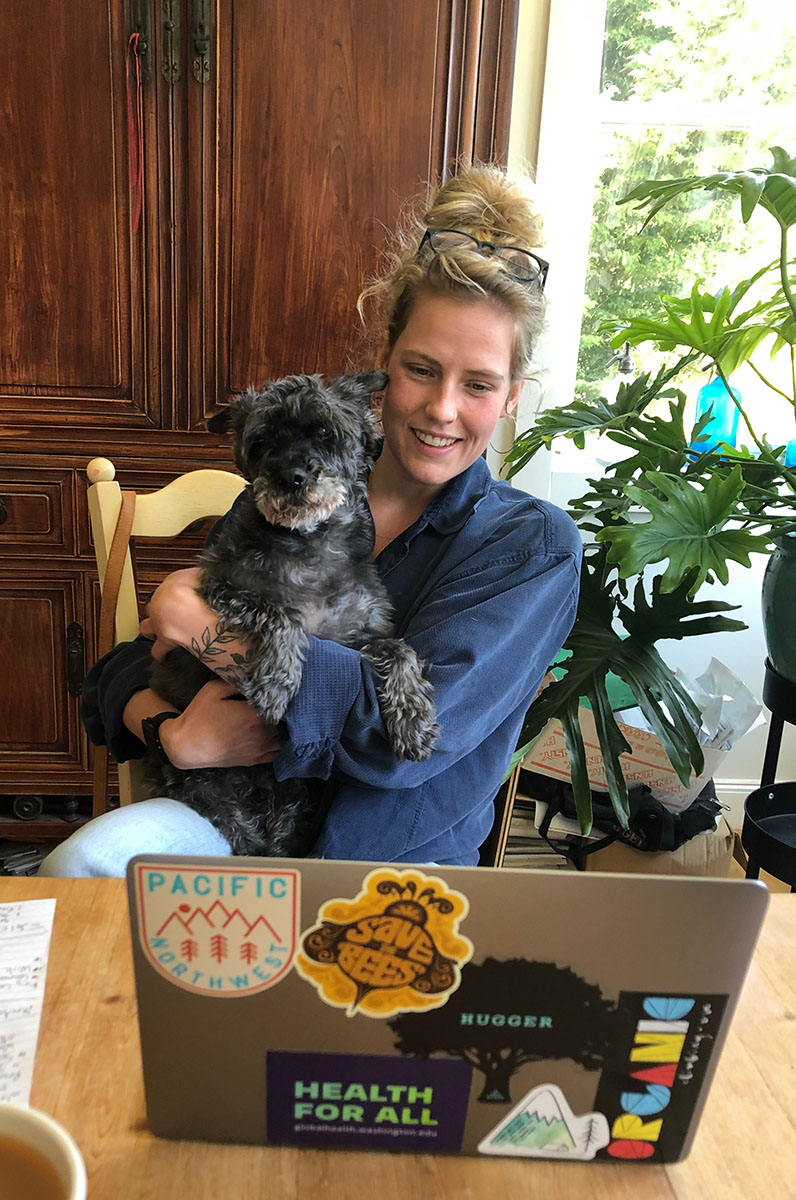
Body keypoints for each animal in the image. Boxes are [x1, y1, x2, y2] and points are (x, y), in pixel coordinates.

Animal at [146, 369, 439, 859]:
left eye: (324, 432)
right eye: (261, 442)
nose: (291, 476)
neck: (310, 541)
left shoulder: (358, 632)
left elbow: (400, 649)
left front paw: (413, 718)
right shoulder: (220, 586)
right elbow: (283, 613)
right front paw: (275, 683)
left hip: (298, 796)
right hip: (199, 781)